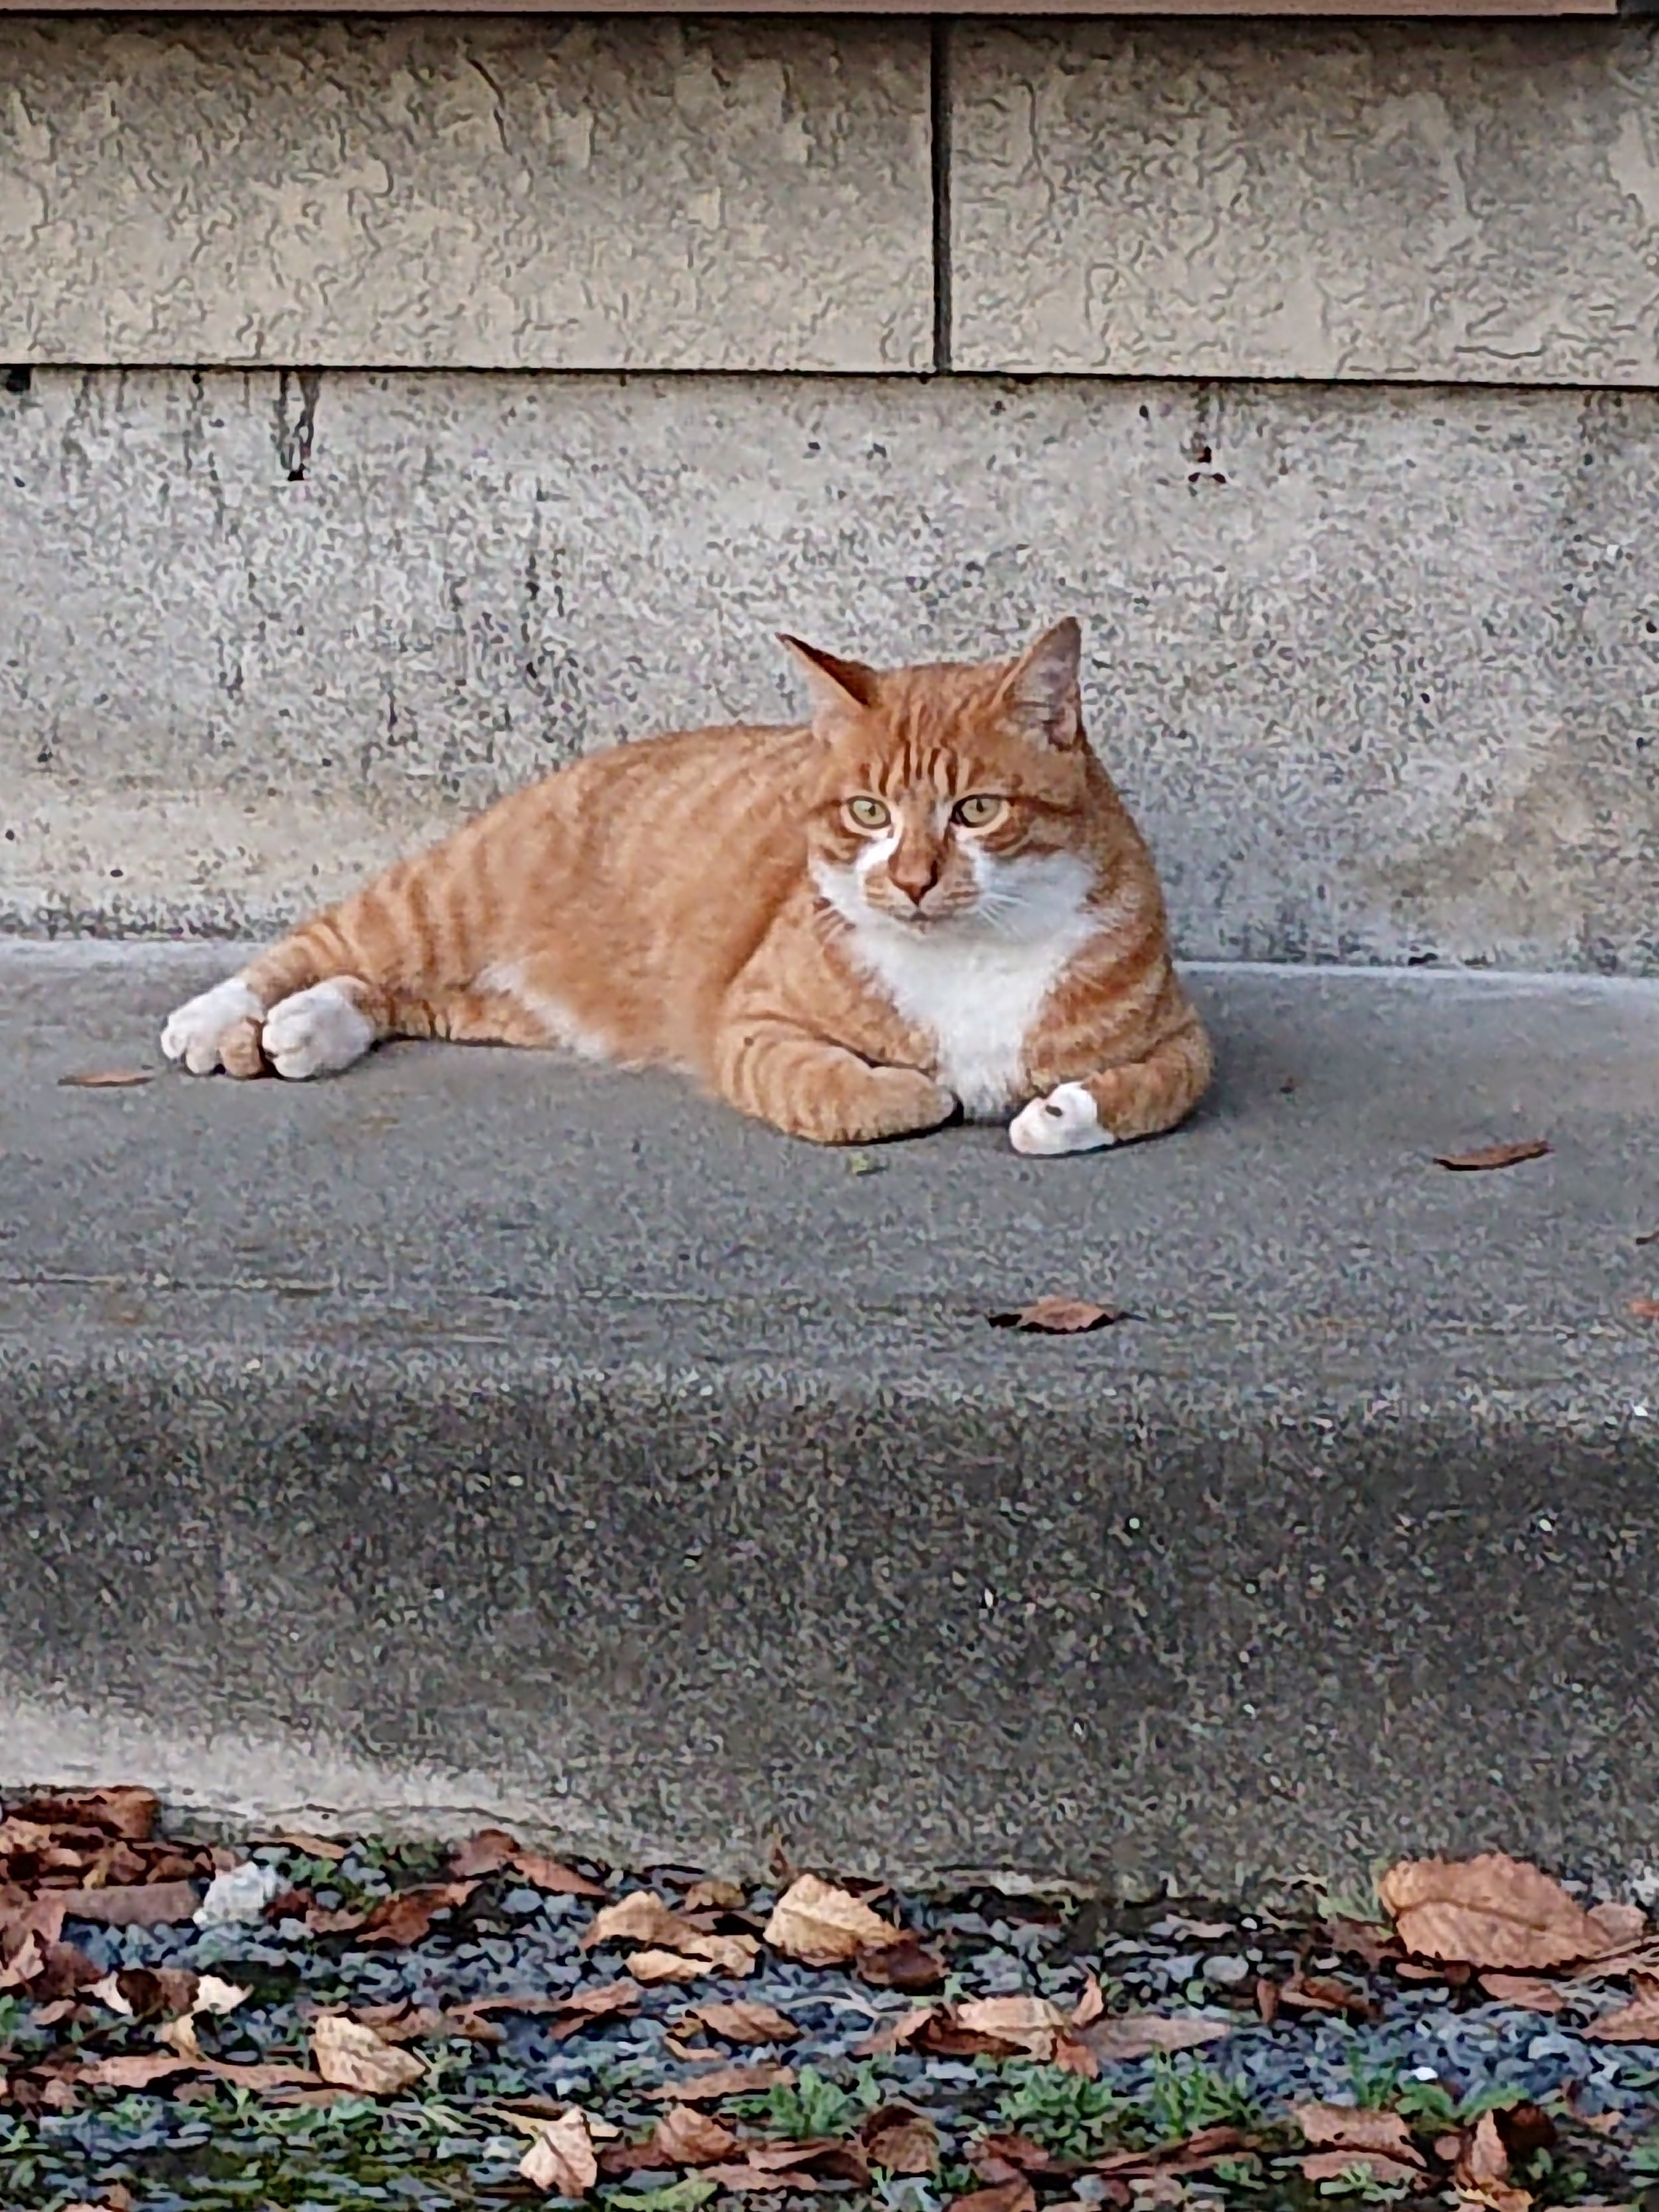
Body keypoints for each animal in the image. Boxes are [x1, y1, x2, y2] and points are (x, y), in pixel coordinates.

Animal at [160, 618, 1211, 1154]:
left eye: (977, 810)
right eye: (868, 811)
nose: (912, 880)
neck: (969, 953)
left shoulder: (1183, 1043)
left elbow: (1148, 1091)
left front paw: (1059, 1113)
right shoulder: (754, 1026)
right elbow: (853, 1094)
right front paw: (922, 1092)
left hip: (510, 1003)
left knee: (388, 993)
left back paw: (312, 1026)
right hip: (442, 900)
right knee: (324, 946)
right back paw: (219, 1019)